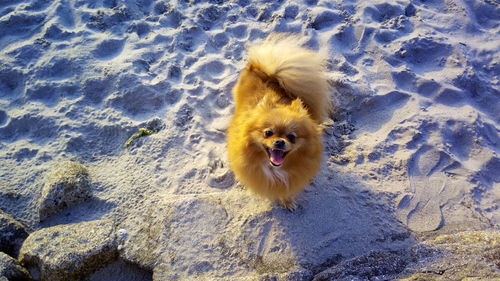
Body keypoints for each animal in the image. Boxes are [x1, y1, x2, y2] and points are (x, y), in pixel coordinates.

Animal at [228, 32, 332, 209]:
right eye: (268, 133)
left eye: (291, 137)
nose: (279, 142)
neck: (275, 170)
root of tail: (259, 68)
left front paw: (288, 202)